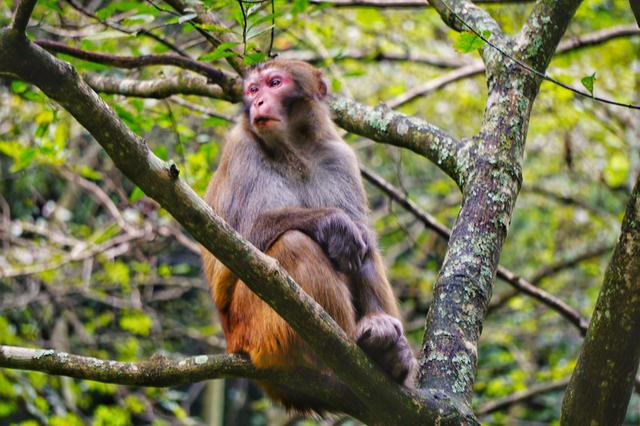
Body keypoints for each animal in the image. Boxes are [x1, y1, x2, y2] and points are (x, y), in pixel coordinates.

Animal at [202, 60, 418, 412]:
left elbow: (364, 242)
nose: (258, 102)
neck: (294, 149)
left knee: (362, 249)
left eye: (275, 83)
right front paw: (334, 223)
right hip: (256, 328)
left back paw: (388, 356)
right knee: (294, 243)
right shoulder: (241, 148)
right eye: (253, 89)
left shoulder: (340, 157)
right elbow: (241, 236)